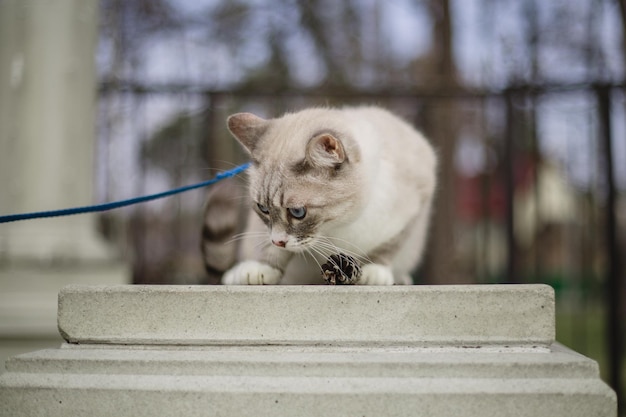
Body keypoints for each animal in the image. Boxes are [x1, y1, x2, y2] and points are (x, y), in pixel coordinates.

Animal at [200, 105, 434, 284]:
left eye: (297, 212)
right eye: (263, 209)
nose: (278, 241)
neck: (340, 225)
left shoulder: (416, 207)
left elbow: (389, 246)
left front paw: (372, 271)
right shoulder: (272, 235)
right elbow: (272, 250)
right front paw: (261, 269)